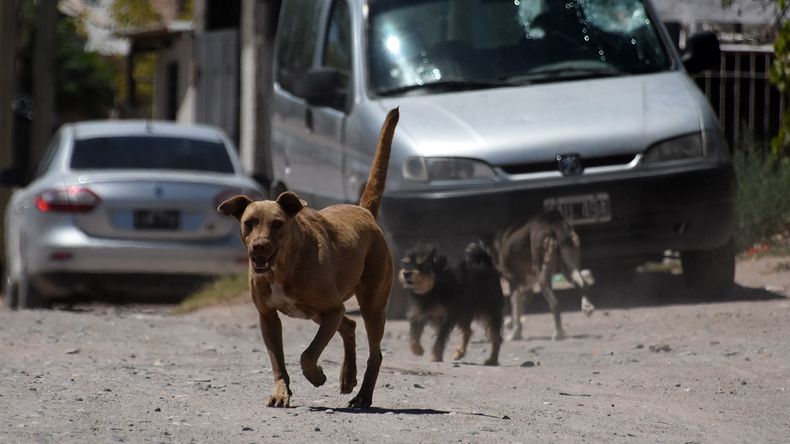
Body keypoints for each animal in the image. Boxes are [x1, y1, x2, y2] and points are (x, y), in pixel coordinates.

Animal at [496, 210, 592, 342]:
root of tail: (554, 221)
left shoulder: (514, 283)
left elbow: (515, 308)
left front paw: (514, 334)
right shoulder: (527, 288)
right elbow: (520, 309)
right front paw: (512, 326)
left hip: (543, 276)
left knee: (555, 304)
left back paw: (558, 333)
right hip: (568, 268)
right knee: (583, 283)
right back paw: (587, 307)